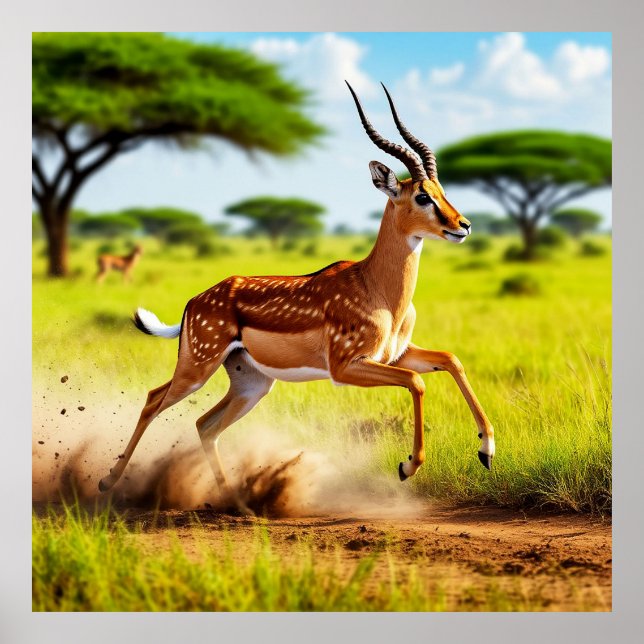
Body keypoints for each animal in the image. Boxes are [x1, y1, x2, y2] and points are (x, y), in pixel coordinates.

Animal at [98, 83, 495, 508]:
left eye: (442, 191)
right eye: (422, 196)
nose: (464, 225)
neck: (377, 289)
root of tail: (195, 302)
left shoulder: (395, 354)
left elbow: (451, 360)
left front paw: (486, 450)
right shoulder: (347, 367)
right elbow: (416, 382)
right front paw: (407, 466)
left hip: (252, 383)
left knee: (205, 424)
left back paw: (236, 502)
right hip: (196, 370)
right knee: (153, 399)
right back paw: (107, 481)